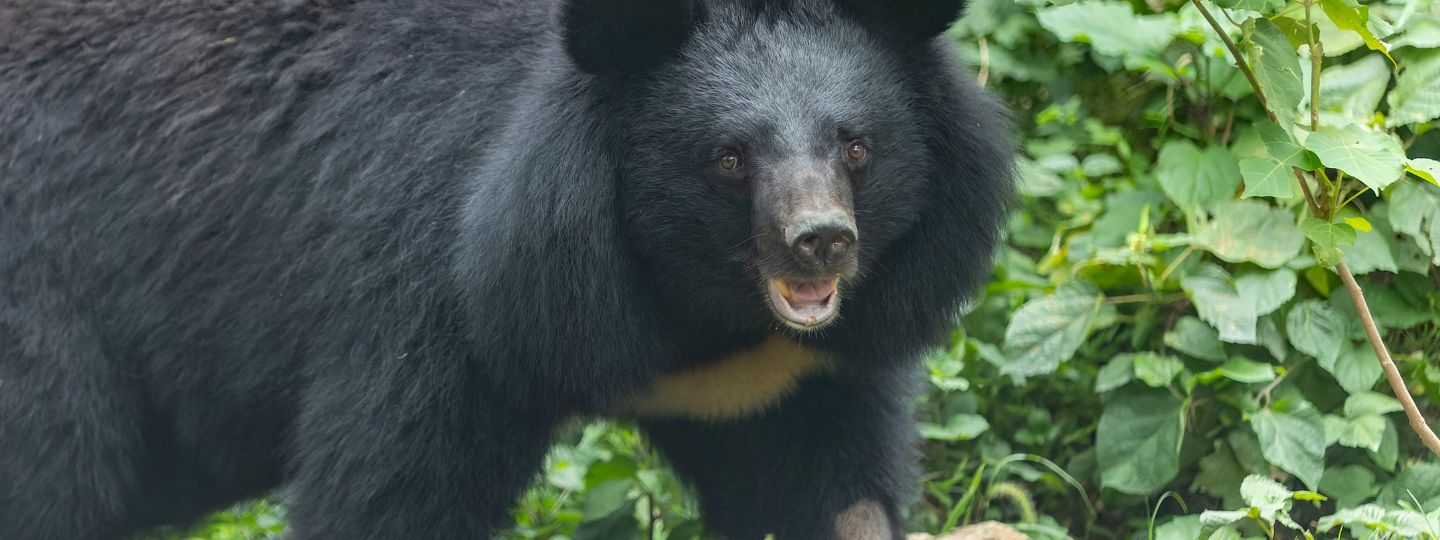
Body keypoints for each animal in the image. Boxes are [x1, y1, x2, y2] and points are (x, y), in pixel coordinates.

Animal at [0, 0, 1013, 538]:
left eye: (857, 145)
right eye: (729, 158)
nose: (820, 240)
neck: (694, 310)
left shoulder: (784, 376)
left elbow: (831, 490)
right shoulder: (436, 303)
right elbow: (392, 492)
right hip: (43, 308)